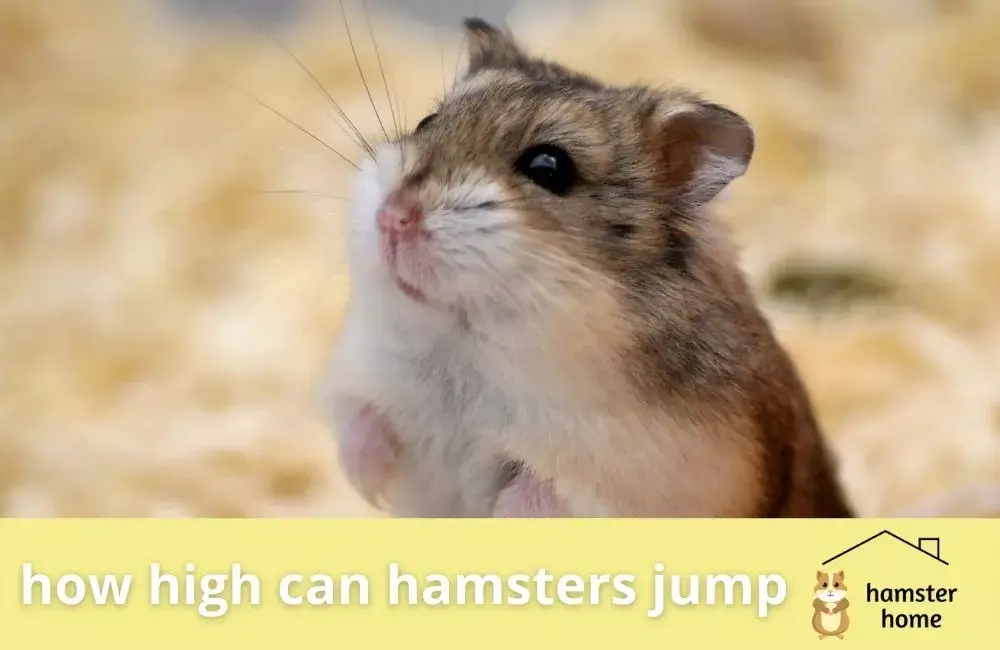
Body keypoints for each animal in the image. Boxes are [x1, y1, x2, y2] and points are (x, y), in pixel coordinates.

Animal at [320, 17, 854, 517]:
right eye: (427, 122)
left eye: (549, 167)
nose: (392, 218)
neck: (463, 346)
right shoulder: (356, 376)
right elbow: (359, 423)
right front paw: (370, 490)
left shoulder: (616, 483)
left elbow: (534, 496)